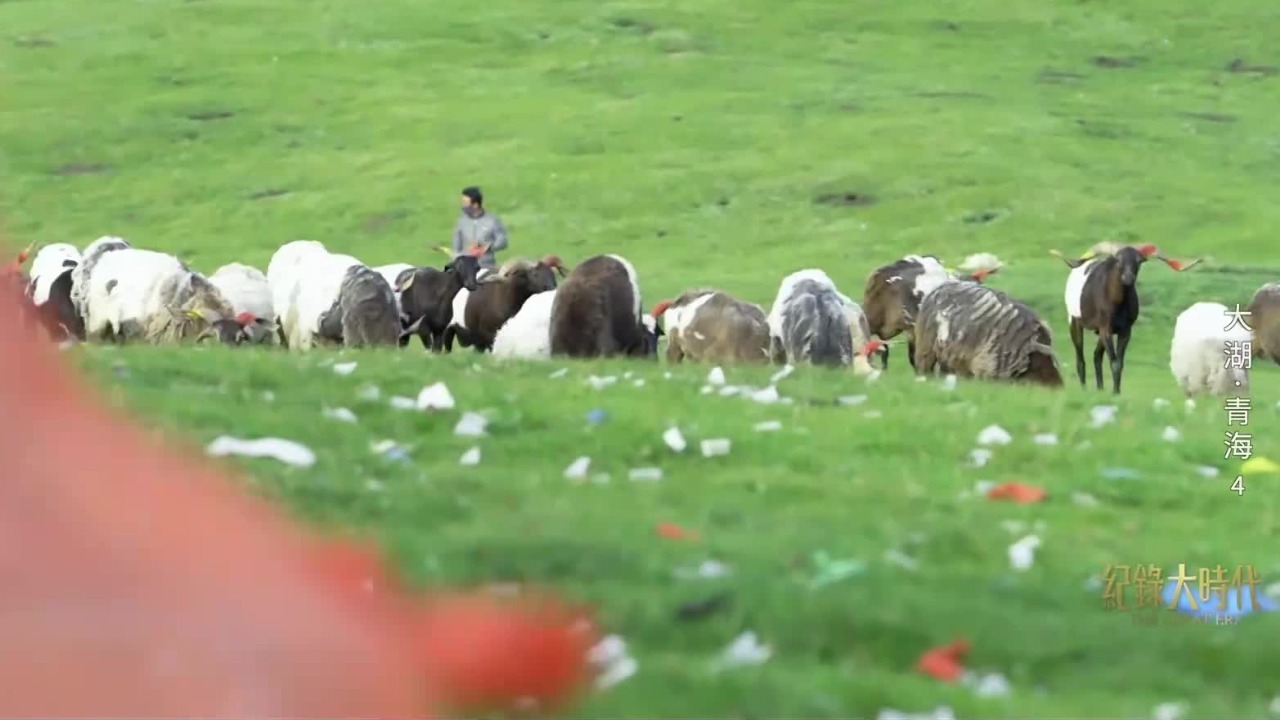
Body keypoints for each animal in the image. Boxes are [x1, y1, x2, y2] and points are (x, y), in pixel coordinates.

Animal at [1054, 244, 1192, 392]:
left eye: (1138, 261)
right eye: (1118, 260)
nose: (1128, 278)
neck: (1117, 303)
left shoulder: (1125, 331)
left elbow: (1119, 364)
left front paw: (1116, 392)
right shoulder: (1106, 329)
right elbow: (1114, 362)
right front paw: (1115, 392)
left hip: (1099, 331)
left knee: (1097, 356)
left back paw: (1100, 389)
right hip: (1074, 322)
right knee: (1080, 358)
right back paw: (1084, 389)